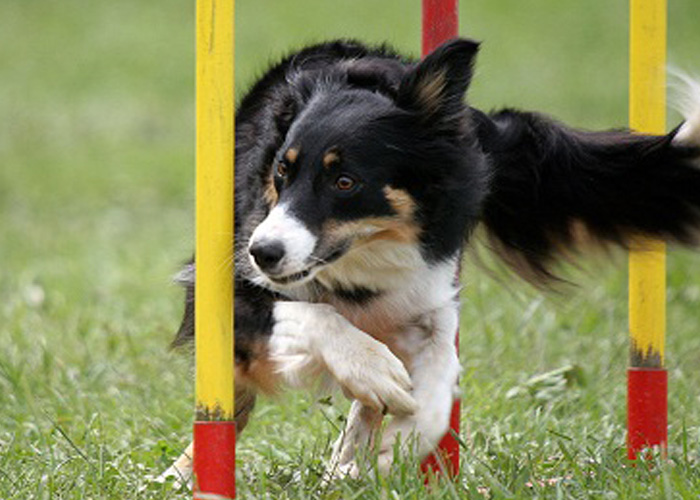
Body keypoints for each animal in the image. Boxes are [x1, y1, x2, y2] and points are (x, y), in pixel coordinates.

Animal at [164, 37, 700, 482]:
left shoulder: (428, 290)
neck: (364, 255)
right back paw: (184, 474)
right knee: (233, 397)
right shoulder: (226, 282)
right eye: (281, 170)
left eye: (345, 181)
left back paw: (346, 461)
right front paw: (372, 372)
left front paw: (399, 440)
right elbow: (308, 314)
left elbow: (440, 374)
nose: (263, 252)